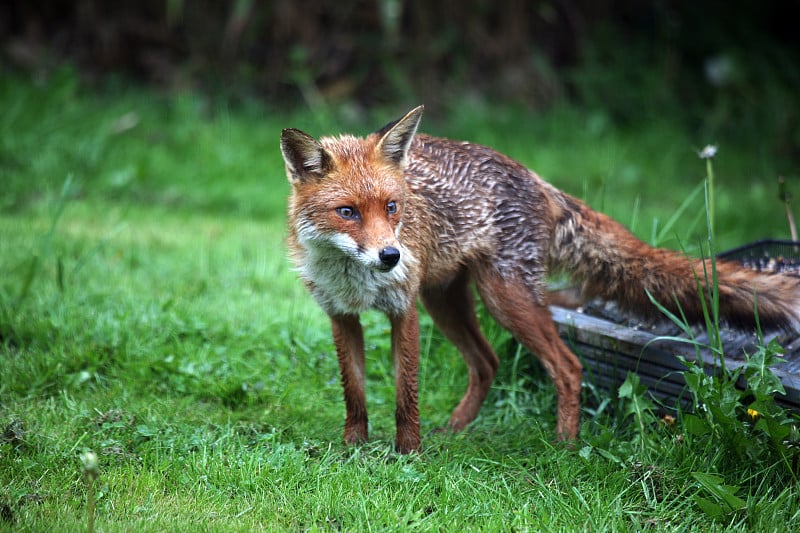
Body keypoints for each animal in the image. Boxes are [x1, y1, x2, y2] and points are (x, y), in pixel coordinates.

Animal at [280, 106, 800, 450]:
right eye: (347, 212)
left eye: (392, 207)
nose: (391, 256)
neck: (353, 278)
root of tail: (537, 177)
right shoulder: (341, 316)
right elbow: (355, 394)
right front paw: (352, 451)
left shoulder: (401, 309)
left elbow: (406, 394)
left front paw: (408, 454)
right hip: (449, 302)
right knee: (488, 362)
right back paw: (456, 431)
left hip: (503, 298)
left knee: (568, 366)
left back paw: (565, 447)